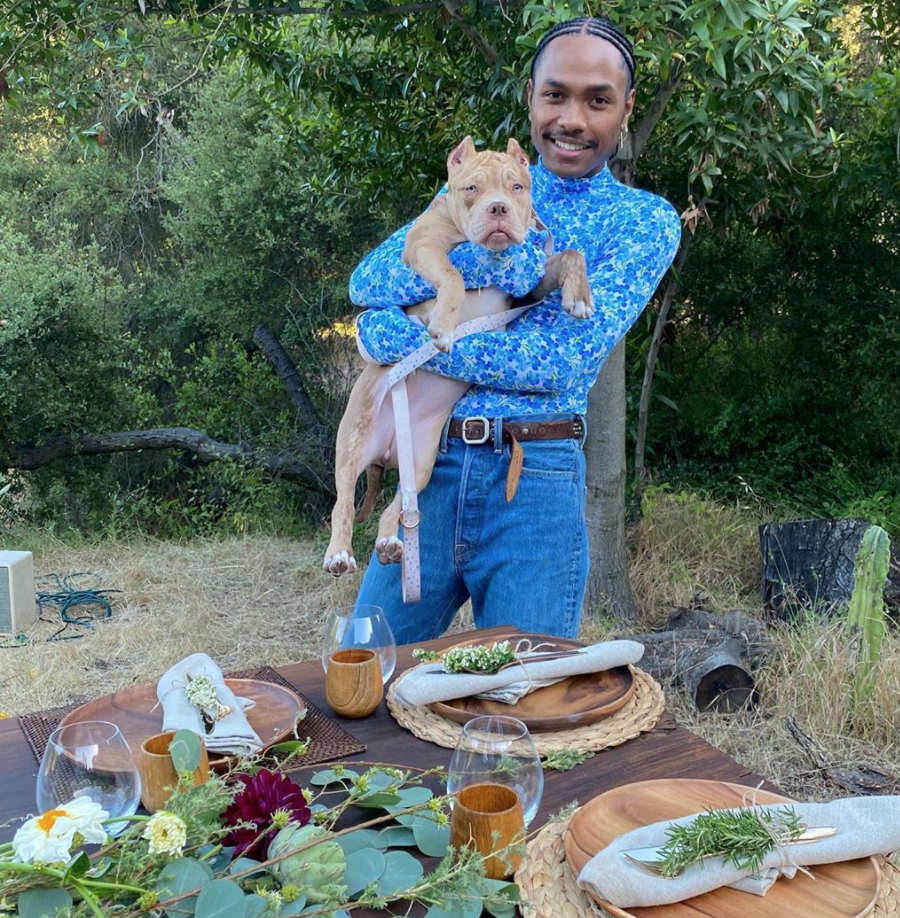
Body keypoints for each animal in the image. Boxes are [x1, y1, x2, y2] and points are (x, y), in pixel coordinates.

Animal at [322, 137, 592, 580]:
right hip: (352, 441)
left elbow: (571, 253)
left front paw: (580, 297)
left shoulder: (530, 282)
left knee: (399, 510)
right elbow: (453, 275)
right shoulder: (423, 245)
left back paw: (389, 543)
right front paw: (443, 327)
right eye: (471, 189)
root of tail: (387, 450)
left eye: (517, 187)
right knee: (342, 500)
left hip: (422, 463)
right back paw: (339, 554)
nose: (498, 209)